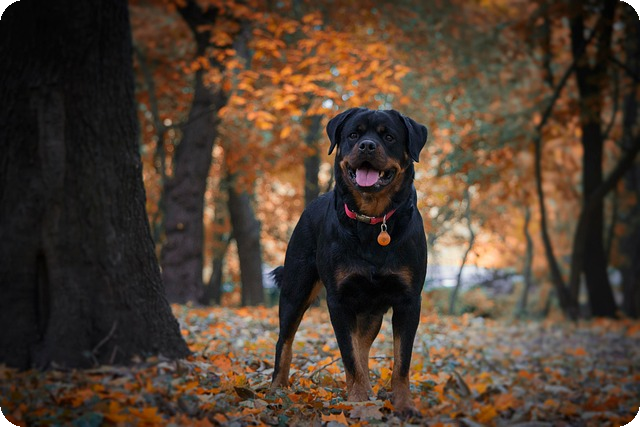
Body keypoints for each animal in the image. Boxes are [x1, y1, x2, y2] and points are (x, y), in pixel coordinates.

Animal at [271, 108, 428, 416]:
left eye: (389, 137)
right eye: (353, 134)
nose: (366, 146)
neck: (374, 221)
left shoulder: (409, 300)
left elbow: (400, 361)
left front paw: (403, 404)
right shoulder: (338, 300)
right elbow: (349, 356)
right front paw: (358, 403)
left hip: (372, 309)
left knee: (363, 345)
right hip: (296, 289)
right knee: (285, 339)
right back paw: (276, 390)